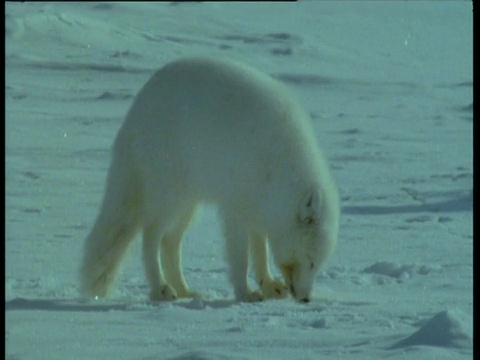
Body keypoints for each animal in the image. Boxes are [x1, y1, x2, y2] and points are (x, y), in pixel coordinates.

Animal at [80, 57, 340, 304]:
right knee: (150, 237)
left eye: (318, 264)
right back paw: (160, 289)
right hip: (169, 198)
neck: (278, 166)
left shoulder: (260, 206)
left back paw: (184, 290)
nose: (306, 299)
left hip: (188, 205)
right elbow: (241, 258)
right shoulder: (236, 208)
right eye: (311, 261)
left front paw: (268, 285)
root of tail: (138, 105)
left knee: (169, 242)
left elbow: (261, 251)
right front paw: (245, 293)